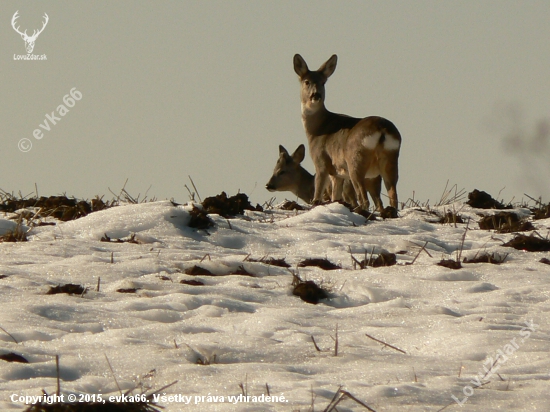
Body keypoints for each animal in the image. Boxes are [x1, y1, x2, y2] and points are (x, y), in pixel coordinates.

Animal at [296, 52, 404, 211]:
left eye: (323, 82)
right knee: (393, 197)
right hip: (390, 161)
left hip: (355, 162)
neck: (317, 130)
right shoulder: (337, 174)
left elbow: (318, 194)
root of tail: (382, 130)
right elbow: (335, 196)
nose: (316, 95)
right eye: (306, 82)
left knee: (365, 200)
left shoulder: (321, 161)